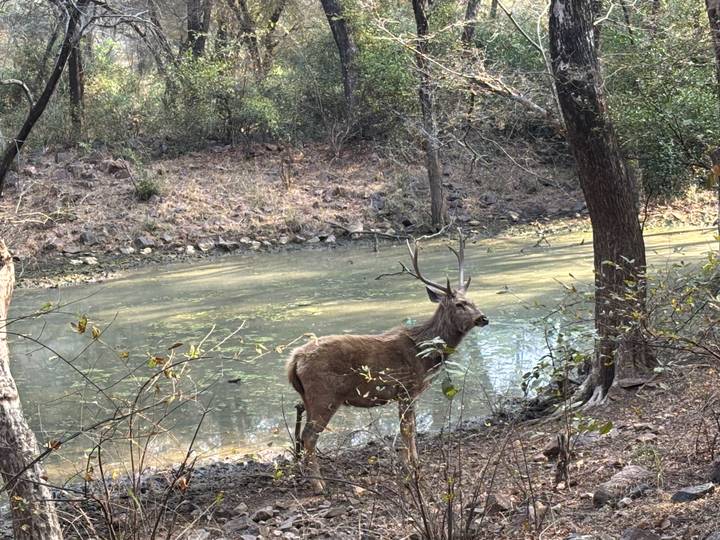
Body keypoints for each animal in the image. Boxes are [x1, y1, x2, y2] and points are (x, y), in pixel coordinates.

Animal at [285, 233, 489, 492]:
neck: (424, 354)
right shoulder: (406, 389)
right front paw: (411, 468)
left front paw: (416, 464)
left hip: (308, 397)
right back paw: (319, 485)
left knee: (301, 436)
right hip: (324, 395)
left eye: (472, 300)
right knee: (310, 436)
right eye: (458, 304)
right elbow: (407, 430)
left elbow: (412, 429)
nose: (483, 318)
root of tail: (294, 359)